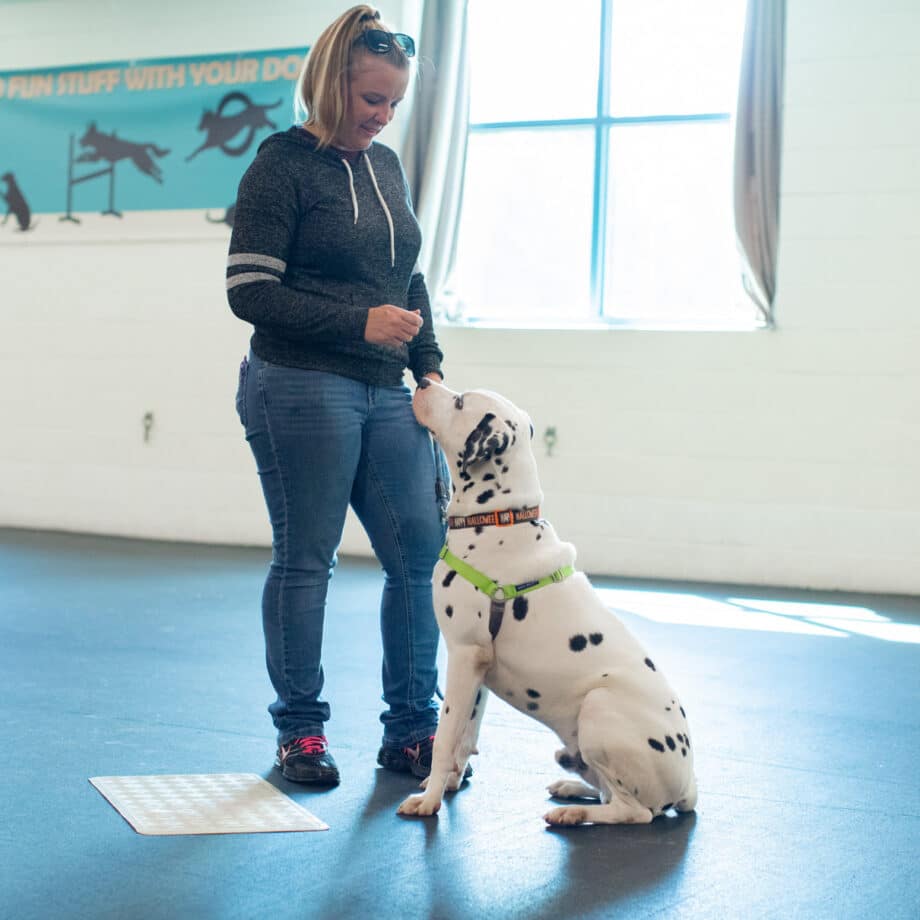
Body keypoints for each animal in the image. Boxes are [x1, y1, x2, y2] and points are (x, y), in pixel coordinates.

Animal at [398, 380, 696, 828]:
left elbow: (445, 736)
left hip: (598, 708)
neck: (499, 519)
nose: (422, 382)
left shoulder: (464, 657)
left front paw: (429, 799)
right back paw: (572, 787)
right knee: (607, 792)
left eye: (460, 402)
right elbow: (465, 737)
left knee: (635, 812)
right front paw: (449, 784)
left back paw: (573, 812)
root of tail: (690, 782)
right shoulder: (478, 671)